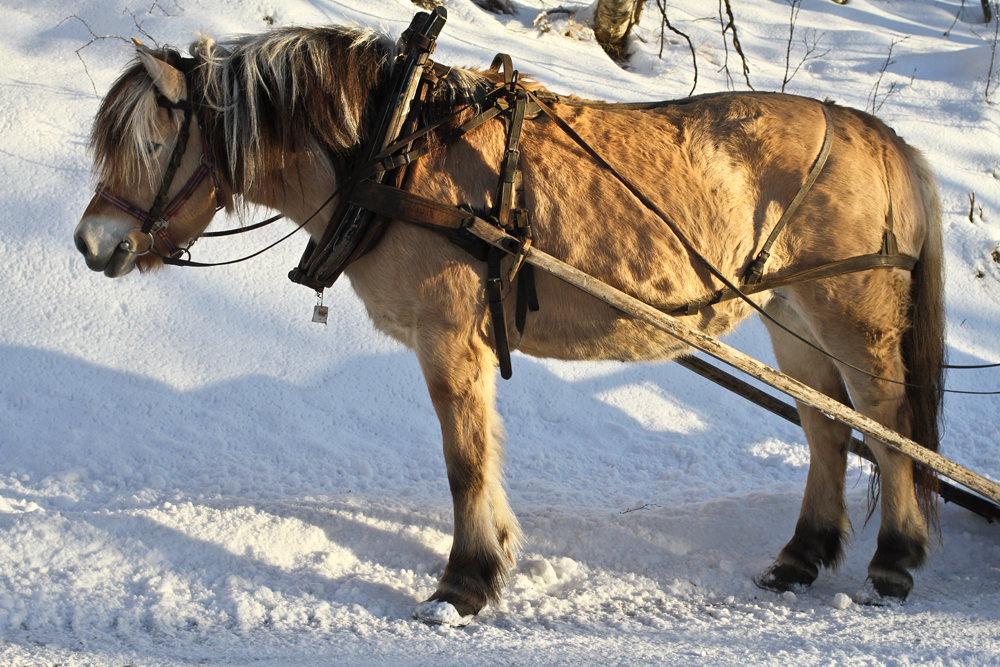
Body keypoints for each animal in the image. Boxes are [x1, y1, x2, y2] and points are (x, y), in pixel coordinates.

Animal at [72, 22, 944, 628]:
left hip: (851, 313)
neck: (394, 150)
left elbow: (463, 462)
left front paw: (461, 583)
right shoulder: (469, 344)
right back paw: (801, 555)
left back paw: (896, 560)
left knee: (888, 422)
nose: (90, 243)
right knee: (826, 426)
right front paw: (493, 557)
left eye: (152, 140)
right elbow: (483, 455)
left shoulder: (449, 338)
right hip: (791, 315)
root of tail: (871, 129)